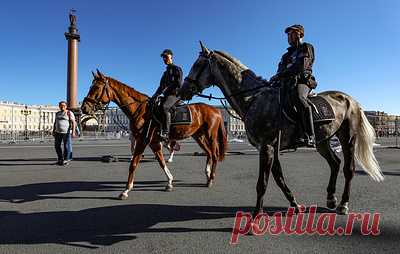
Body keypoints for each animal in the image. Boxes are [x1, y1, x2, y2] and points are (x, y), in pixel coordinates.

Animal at [80, 70, 228, 199]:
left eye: (96, 87)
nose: (84, 107)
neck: (141, 110)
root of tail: (215, 110)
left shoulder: (142, 141)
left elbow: (133, 164)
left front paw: (126, 190)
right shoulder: (154, 142)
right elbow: (161, 162)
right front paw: (169, 182)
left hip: (210, 136)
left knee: (214, 154)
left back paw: (211, 178)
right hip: (199, 136)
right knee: (209, 153)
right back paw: (207, 175)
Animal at [180, 42, 382, 215]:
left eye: (198, 65)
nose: (183, 90)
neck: (254, 98)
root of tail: (351, 100)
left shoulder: (267, 146)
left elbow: (262, 183)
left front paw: (255, 218)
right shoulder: (271, 147)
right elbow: (279, 178)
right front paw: (295, 204)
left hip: (347, 138)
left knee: (348, 169)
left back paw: (343, 204)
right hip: (322, 141)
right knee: (335, 163)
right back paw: (331, 198)